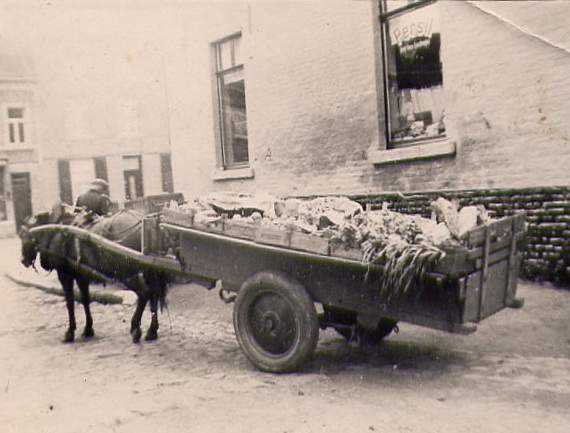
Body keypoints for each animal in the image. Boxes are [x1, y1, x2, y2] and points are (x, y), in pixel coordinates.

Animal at [19, 203, 171, 344]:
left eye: (24, 235)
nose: (23, 260)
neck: (58, 230)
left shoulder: (65, 275)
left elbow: (70, 302)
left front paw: (70, 331)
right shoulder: (82, 276)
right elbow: (85, 299)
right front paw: (88, 329)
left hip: (127, 273)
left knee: (144, 294)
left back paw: (135, 329)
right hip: (148, 270)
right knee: (153, 295)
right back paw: (152, 331)